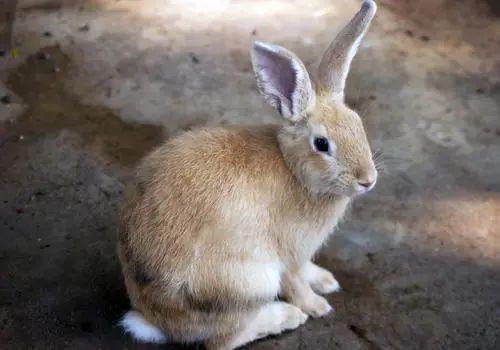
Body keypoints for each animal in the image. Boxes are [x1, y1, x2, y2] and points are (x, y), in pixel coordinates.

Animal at [117, 1, 376, 348]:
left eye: (358, 124)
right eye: (322, 144)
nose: (368, 180)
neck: (294, 170)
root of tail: (156, 320)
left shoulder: (302, 256)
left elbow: (307, 270)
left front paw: (326, 280)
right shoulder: (289, 255)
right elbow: (296, 284)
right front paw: (318, 306)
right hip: (249, 283)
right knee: (222, 340)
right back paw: (285, 318)